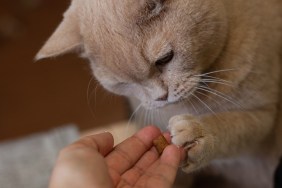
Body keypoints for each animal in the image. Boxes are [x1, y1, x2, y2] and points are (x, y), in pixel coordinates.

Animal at [36, 0, 282, 188]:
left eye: (164, 59)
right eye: (123, 83)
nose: (161, 97)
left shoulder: (265, 117)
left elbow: (230, 125)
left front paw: (198, 133)